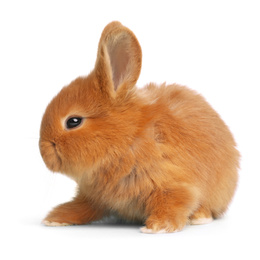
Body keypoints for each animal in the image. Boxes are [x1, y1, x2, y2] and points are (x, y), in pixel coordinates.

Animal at [39, 21, 240, 234]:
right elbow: (81, 208)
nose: (44, 150)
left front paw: (157, 227)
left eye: (73, 121)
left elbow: (174, 203)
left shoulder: (172, 184)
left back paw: (199, 218)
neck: (128, 138)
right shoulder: (93, 198)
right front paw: (56, 218)